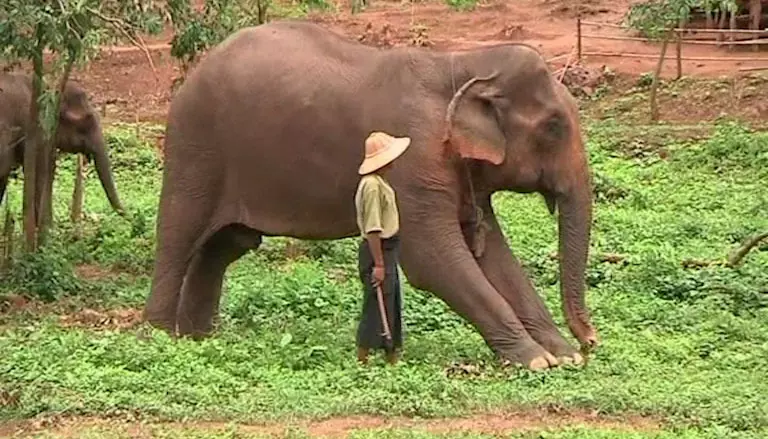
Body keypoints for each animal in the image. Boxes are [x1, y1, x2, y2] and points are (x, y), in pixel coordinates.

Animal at [144, 20, 600, 372]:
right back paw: (160, 336)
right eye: (554, 127)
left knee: (224, 246)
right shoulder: (412, 159)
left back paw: (199, 338)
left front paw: (560, 357)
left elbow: (494, 257)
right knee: (179, 236)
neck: (462, 63)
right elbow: (434, 261)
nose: (591, 341)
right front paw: (536, 359)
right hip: (195, 147)